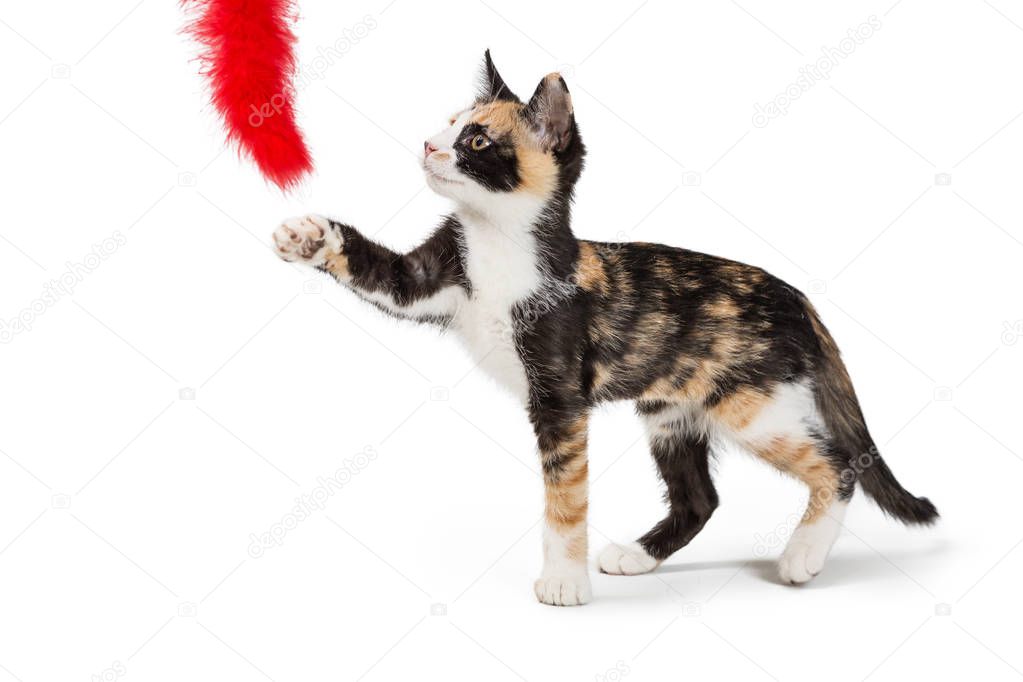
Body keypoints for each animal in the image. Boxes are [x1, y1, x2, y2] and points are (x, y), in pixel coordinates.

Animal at [270, 53, 937, 609]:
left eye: (476, 139)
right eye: (447, 122)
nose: (428, 144)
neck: (497, 241)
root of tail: (797, 297)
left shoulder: (560, 396)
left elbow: (565, 497)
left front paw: (563, 582)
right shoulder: (428, 276)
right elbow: (380, 271)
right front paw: (307, 236)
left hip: (753, 405)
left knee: (839, 464)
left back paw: (802, 555)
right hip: (671, 411)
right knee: (702, 497)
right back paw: (639, 556)